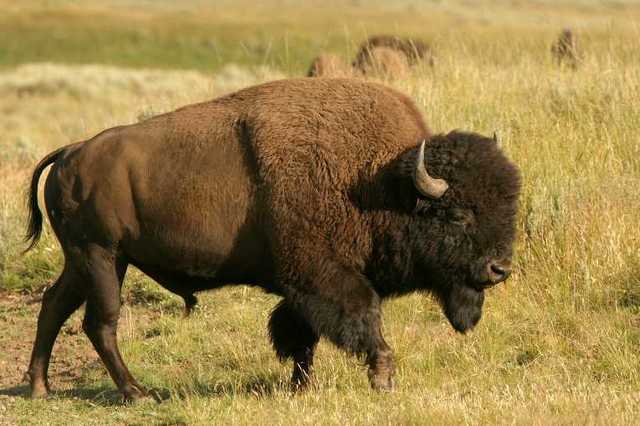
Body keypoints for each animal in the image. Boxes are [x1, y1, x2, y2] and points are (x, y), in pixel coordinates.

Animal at [24, 78, 520, 401]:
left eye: (507, 208)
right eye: (457, 214)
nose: (498, 269)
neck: (378, 182)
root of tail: (71, 153)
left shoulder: (302, 288)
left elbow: (299, 335)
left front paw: (302, 387)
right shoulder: (324, 277)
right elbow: (361, 319)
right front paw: (383, 379)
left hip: (91, 259)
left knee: (54, 305)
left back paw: (39, 388)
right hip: (101, 256)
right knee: (100, 322)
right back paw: (136, 393)